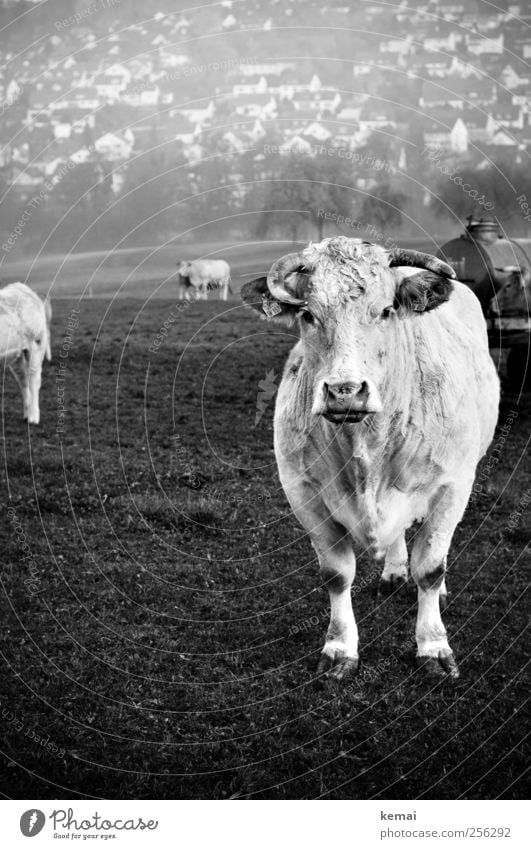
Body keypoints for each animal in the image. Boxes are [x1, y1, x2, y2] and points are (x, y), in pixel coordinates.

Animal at [0, 282, 52, 424]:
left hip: (36, 345)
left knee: (33, 380)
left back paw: (33, 417)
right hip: (18, 353)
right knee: (23, 380)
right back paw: (26, 413)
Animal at [243, 238, 500, 684]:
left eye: (385, 310)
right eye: (308, 314)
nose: (344, 391)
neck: (365, 445)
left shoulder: (453, 486)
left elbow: (430, 567)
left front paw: (433, 646)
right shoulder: (302, 492)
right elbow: (336, 574)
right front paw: (339, 648)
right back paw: (394, 571)